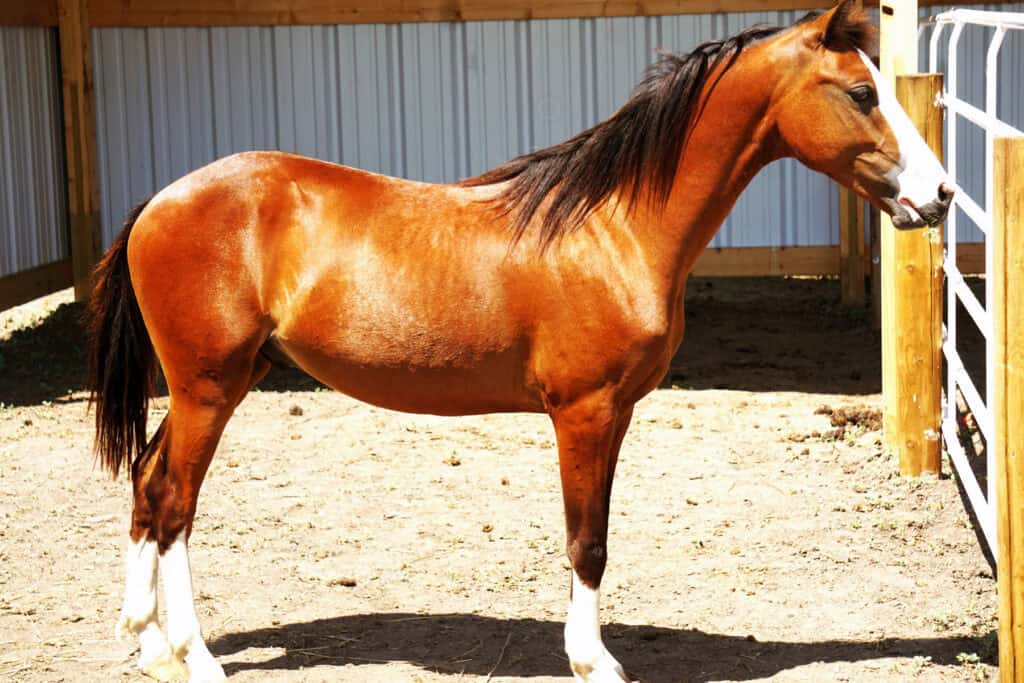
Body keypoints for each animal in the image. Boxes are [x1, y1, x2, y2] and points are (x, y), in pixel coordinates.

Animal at [86, 1, 952, 680]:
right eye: (861, 92)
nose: (939, 194)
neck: (613, 227)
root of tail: (160, 200)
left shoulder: (617, 412)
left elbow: (593, 533)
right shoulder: (583, 411)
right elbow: (587, 539)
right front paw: (593, 661)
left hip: (217, 383)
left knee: (147, 480)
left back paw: (145, 643)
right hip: (208, 386)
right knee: (174, 501)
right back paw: (193, 655)